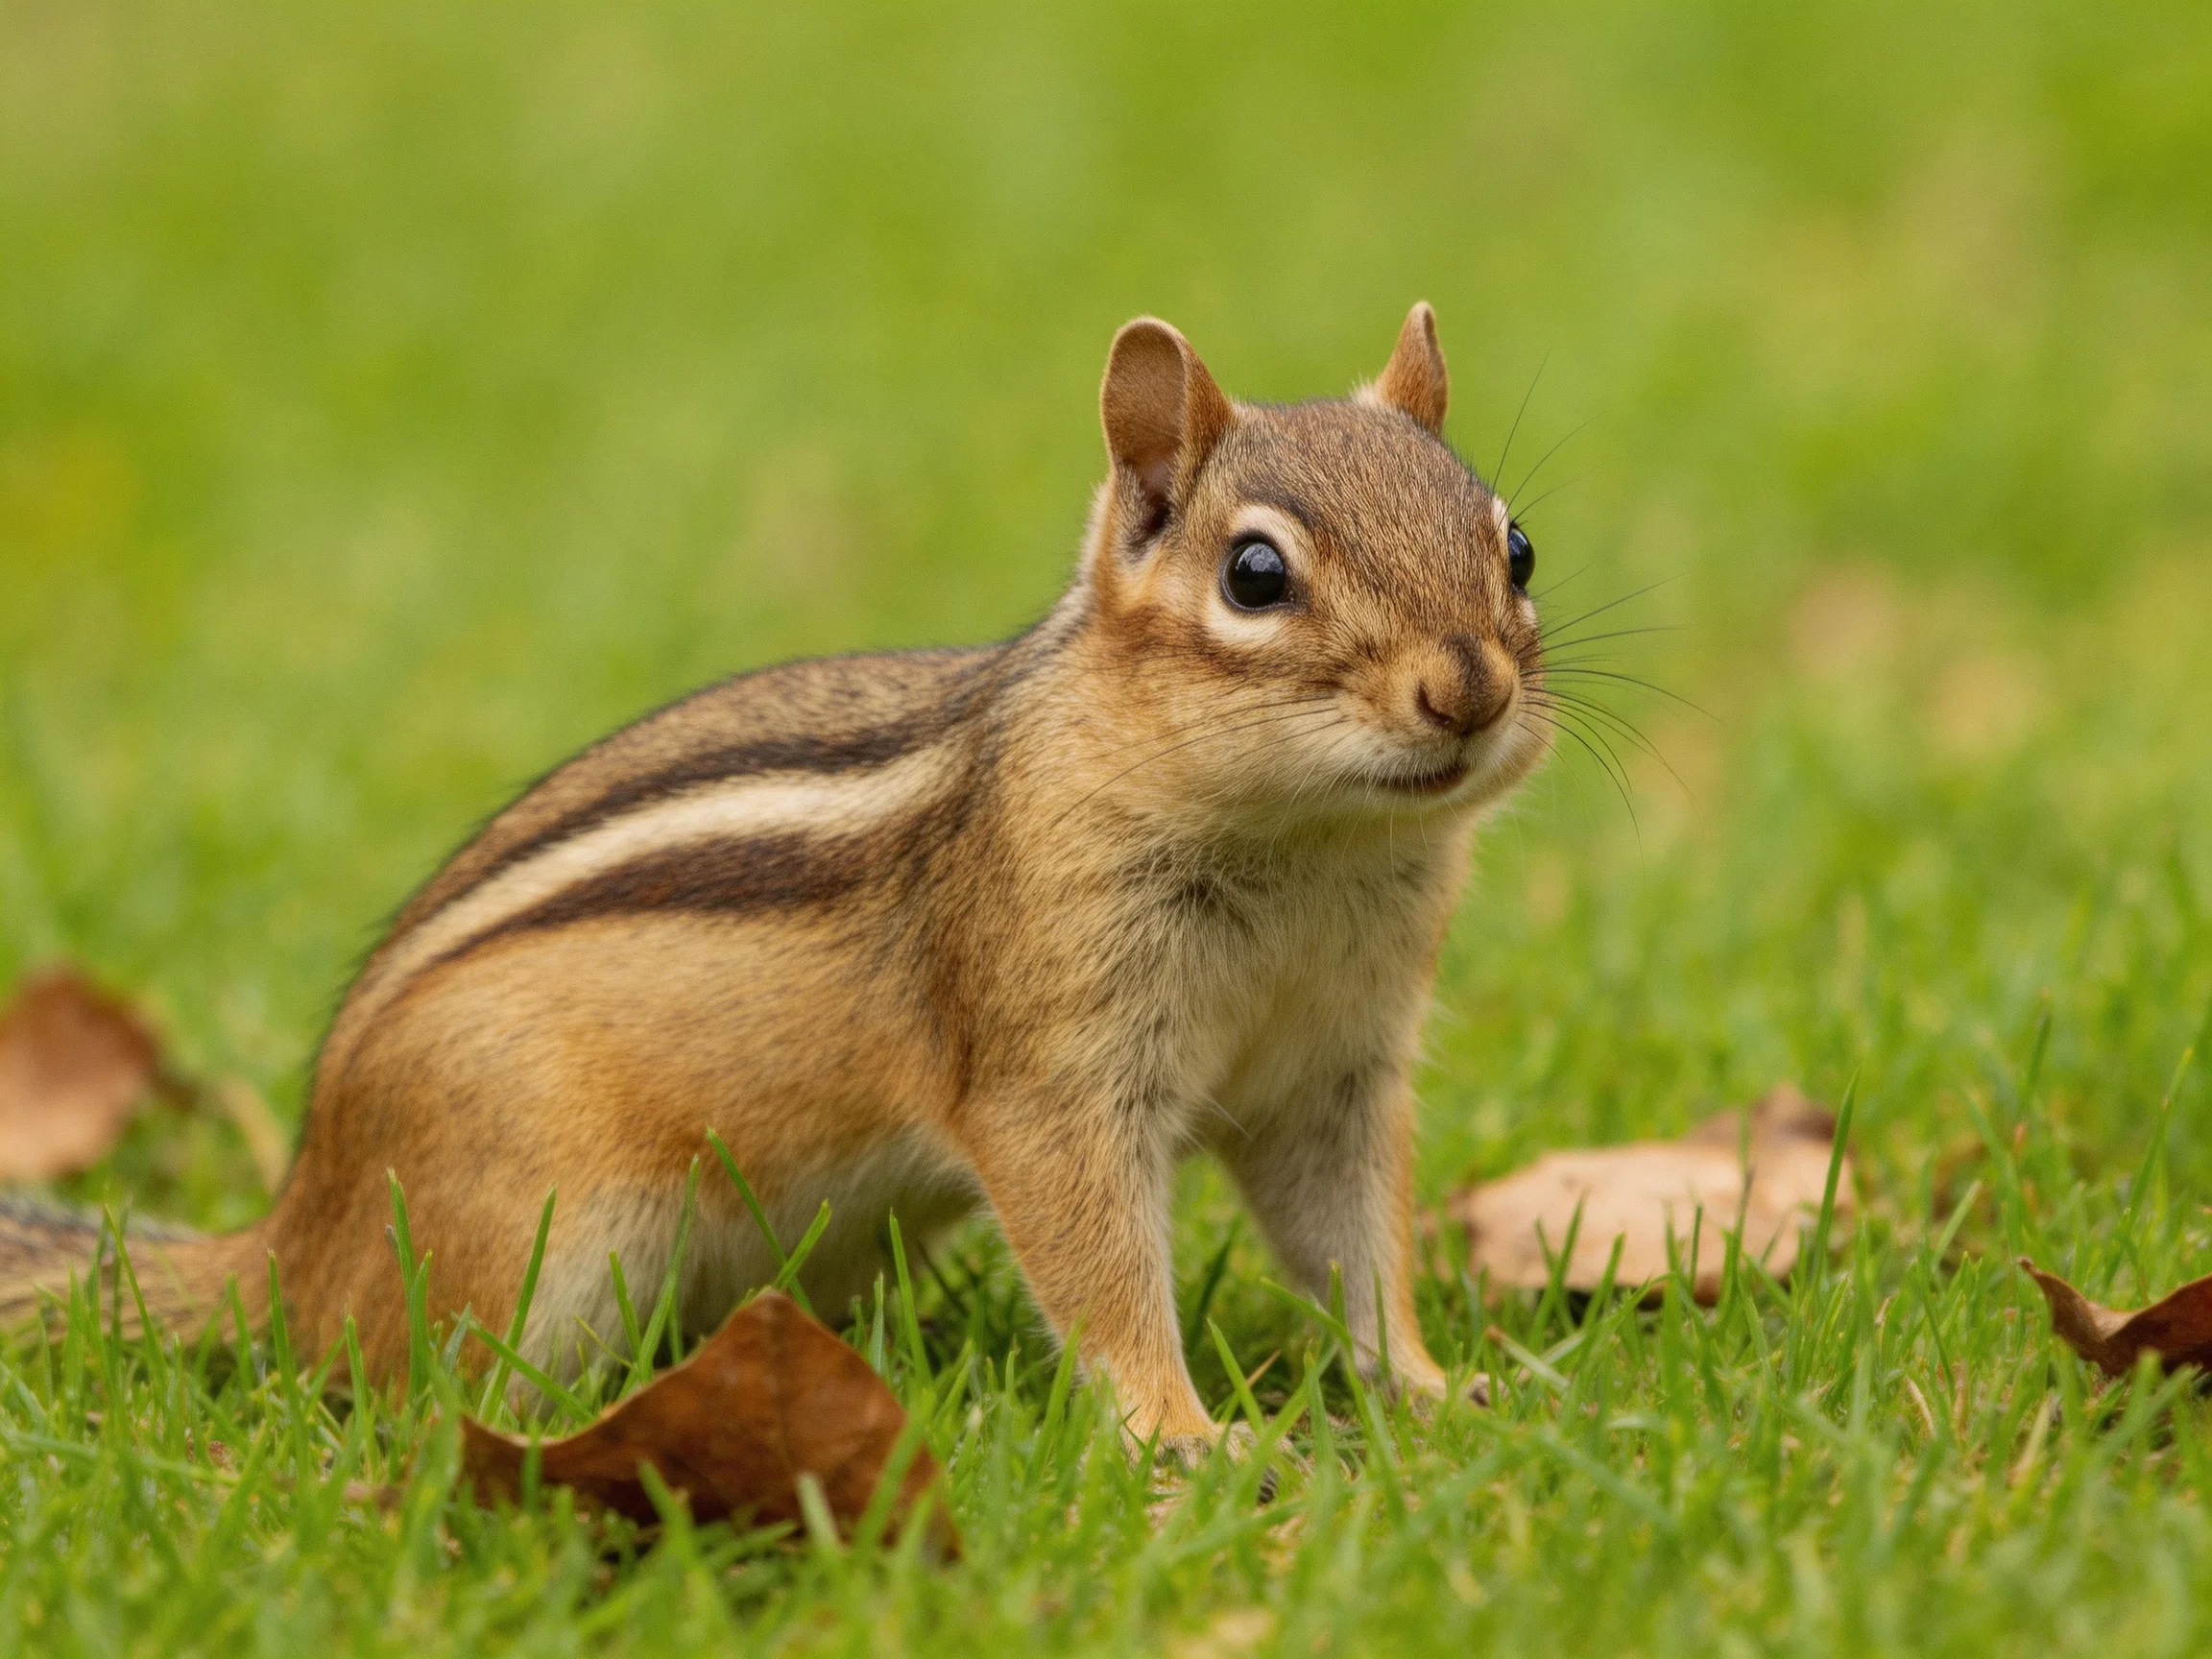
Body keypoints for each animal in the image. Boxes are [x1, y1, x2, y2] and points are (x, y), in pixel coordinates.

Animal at [1, 303, 1549, 1457]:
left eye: (1516, 544)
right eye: (1254, 575)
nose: (1468, 688)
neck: (1309, 847)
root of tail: (288, 1236)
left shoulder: (1333, 1074)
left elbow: (1353, 1244)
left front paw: (1435, 1390)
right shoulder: (1050, 1069)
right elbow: (1100, 1265)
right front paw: (1190, 1440)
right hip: (532, 1241)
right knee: (397, 1392)